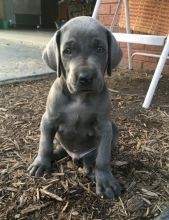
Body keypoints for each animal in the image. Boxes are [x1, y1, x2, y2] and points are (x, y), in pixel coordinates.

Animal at [28, 15, 122, 199]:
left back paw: (90, 167)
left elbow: (103, 158)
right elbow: (45, 144)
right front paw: (41, 162)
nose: (86, 77)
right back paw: (54, 155)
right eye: (67, 51)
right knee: (57, 147)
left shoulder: (105, 127)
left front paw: (106, 181)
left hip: (114, 130)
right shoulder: (48, 120)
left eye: (100, 49)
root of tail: (75, 156)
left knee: (93, 156)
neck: (79, 98)